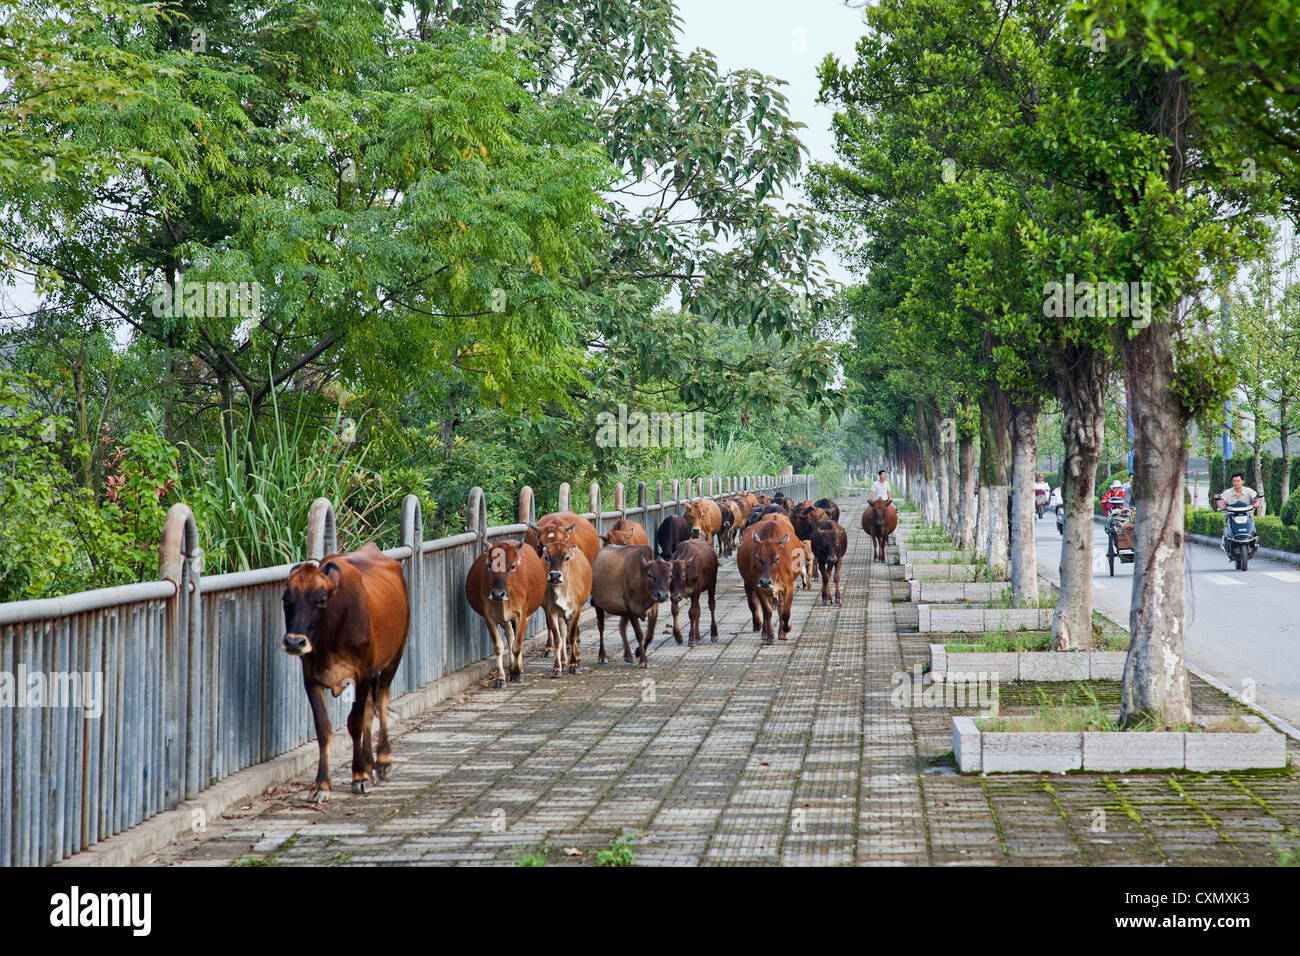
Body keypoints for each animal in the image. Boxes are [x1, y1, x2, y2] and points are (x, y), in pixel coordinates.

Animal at [282, 546, 408, 801]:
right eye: (286, 600)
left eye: (321, 600)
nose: (294, 642)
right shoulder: (310, 678)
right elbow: (324, 728)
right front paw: (321, 784)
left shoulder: (363, 673)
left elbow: (355, 722)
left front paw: (359, 776)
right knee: (370, 708)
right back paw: (370, 764)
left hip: (395, 654)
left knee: (381, 699)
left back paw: (383, 760)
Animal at [465, 538, 546, 686]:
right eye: (489, 565)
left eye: (512, 566)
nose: (498, 594)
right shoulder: (489, 616)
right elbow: (498, 646)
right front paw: (500, 677)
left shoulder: (522, 614)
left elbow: (517, 646)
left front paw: (517, 672)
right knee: (509, 634)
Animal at [538, 541, 595, 676]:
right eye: (546, 557)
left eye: (567, 558)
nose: (555, 575)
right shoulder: (551, 610)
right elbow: (558, 638)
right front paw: (557, 668)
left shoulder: (576, 609)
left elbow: (572, 636)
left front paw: (574, 665)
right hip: (561, 614)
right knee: (563, 633)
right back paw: (564, 662)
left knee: (573, 633)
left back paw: (577, 659)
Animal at [590, 541, 670, 671]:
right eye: (650, 575)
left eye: (669, 576)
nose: (662, 595)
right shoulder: (631, 609)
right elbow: (639, 634)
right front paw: (643, 660)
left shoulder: (653, 609)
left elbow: (650, 634)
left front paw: (638, 652)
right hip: (598, 604)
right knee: (601, 628)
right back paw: (602, 656)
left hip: (623, 610)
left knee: (622, 626)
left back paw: (628, 655)